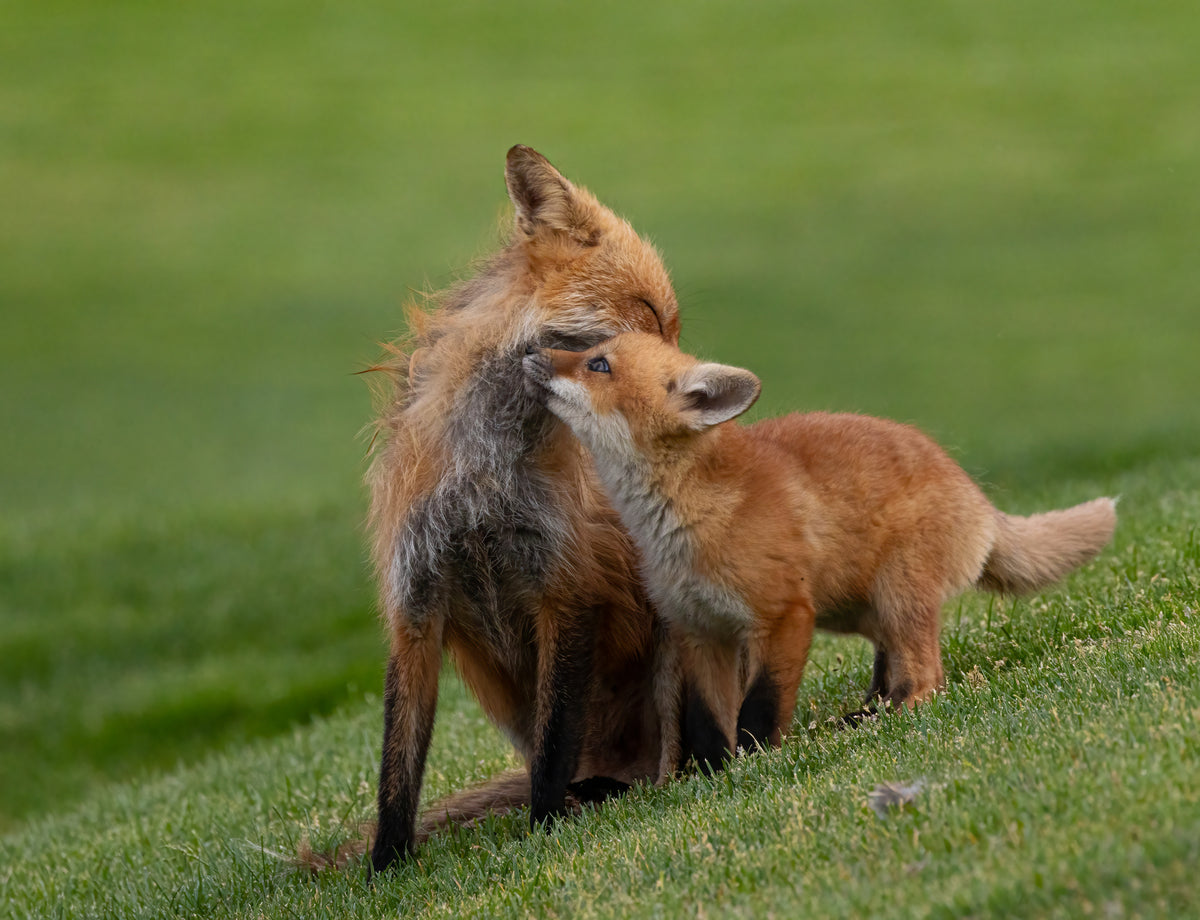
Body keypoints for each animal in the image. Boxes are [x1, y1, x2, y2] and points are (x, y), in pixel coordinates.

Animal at [361, 148, 685, 872]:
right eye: (648, 311)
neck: (482, 477)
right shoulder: (414, 602)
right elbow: (398, 771)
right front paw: (386, 872)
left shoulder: (563, 586)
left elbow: (553, 741)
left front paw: (543, 831)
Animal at [523, 332, 1118, 769]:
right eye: (589, 351)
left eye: (598, 365)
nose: (528, 350)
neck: (690, 518)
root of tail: (977, 498)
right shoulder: (699, 628)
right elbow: (706, 722)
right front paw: (712, 776)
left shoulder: (785, 614)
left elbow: (759, 708)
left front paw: (755, 764)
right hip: (856, 610)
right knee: (891, 670)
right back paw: (861, 714)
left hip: (896, 596)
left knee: (925, 680)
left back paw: (877, 721)